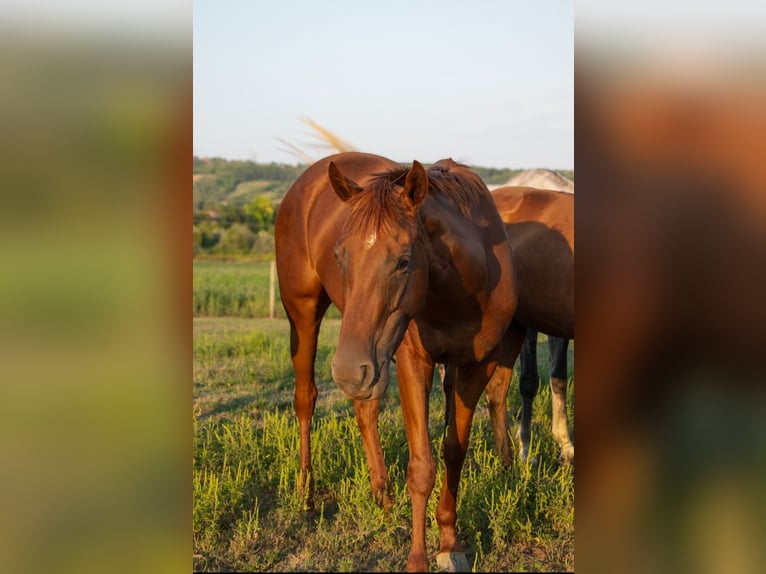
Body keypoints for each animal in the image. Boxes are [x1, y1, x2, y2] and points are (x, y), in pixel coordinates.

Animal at [272, 151, 520, 572]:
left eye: (404, 262)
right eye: (339, 255)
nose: (346, 371)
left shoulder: (477, 366)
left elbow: (454, 450)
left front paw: (450, 542)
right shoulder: (412, 362)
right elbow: (421, 466)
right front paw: (418, 559)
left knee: (365, 410)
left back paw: (383, 497)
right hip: (309, 319)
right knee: (306, 399)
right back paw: (306, 494)